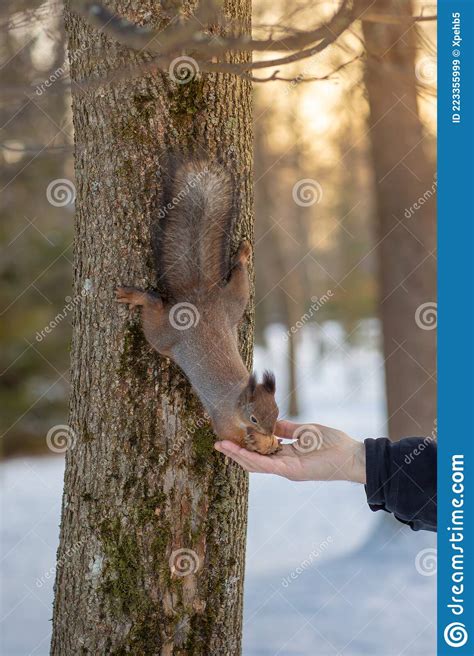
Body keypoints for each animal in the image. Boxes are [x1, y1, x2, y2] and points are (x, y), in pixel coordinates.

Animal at [116, 161, 280, 454]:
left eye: (277, 411)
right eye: (253, 418)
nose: (270, 432)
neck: (237, 402)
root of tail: (198, 298)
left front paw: (269, 443)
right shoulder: (224, 420)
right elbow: (229, 437)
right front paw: (258, 444)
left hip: (233, 303)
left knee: (239, 277)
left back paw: (243, 254)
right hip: (164, 334)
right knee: (154, 310)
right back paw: (137, 297)